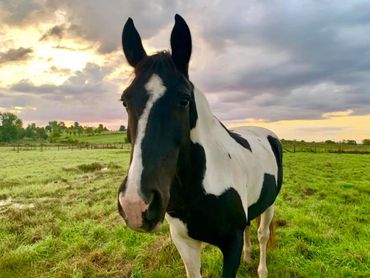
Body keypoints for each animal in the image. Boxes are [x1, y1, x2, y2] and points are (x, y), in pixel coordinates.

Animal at [118, 14, 284, 278]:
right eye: (125, 100)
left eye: (185, 100)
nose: (135, 205)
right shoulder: (184, 242)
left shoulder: (232, 244)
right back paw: (249, 257)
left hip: (270, 205)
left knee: (262, 234)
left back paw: (261, 269)